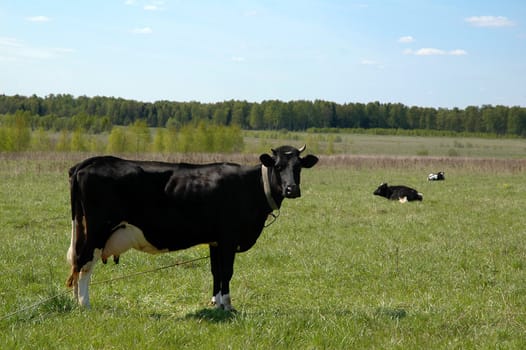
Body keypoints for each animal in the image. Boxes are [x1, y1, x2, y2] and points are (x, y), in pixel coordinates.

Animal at [68, 146, 320, 310]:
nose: (291, 189)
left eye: (298, 167)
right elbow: (227, 271)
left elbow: (216, 271)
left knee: (77, 264)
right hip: (96, 230)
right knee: (84, 264)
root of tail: (90, 161)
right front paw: (228, 305)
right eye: (278, 166)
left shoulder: (215, 240)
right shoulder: (229, 238)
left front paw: (215, 302)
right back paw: (84, 304)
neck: (250, 186)